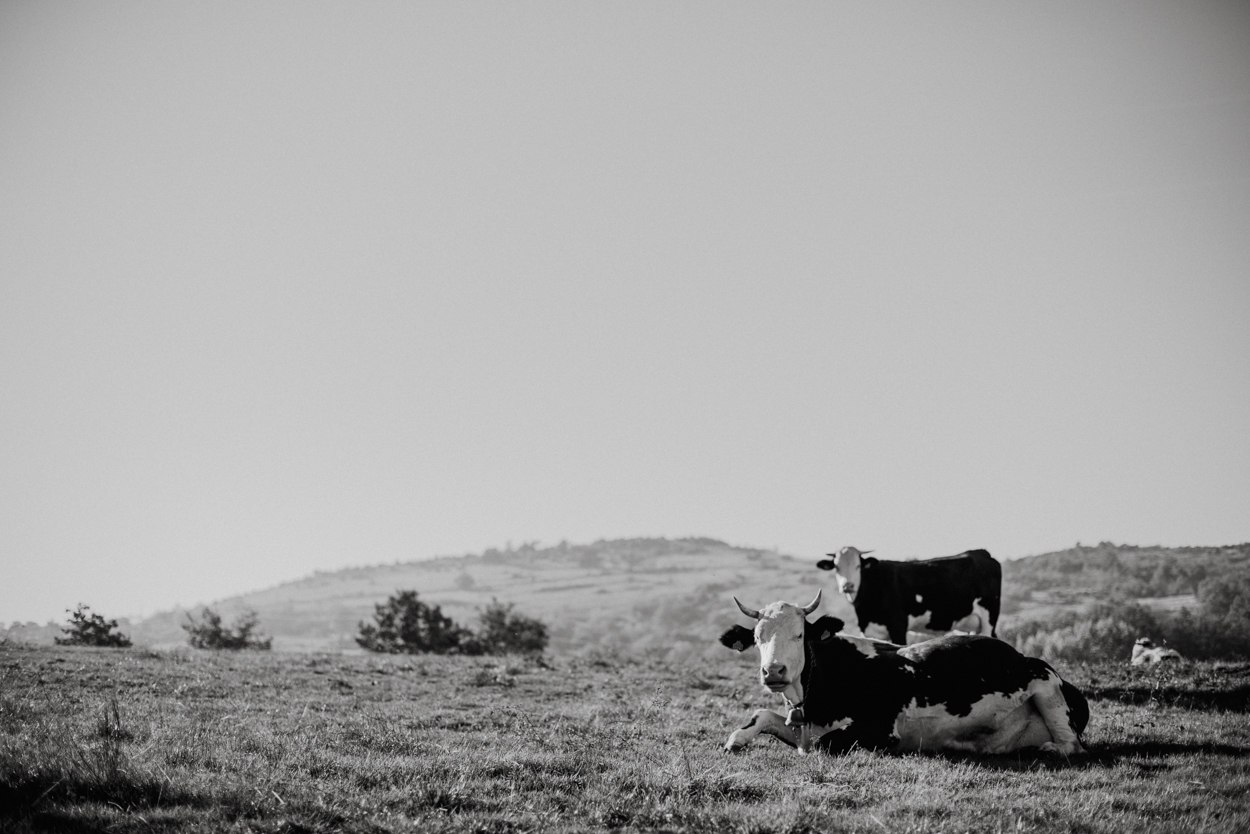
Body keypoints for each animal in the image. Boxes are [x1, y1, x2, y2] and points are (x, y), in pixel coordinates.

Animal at [718, 590, 1088, 756]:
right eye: (757, 638)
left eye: (799, 635)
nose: (773, 671)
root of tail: (1019, 655)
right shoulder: (803, 723)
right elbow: (762, 715)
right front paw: (737, 737)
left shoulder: (881, 730)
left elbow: (823, 743)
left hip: (1044, 681)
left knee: (1071, 744)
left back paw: (1051, 749)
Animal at [817, 546, 1001, 644]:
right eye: (836, 567)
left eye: (858, 566)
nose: (847, 586)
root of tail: (980, 553)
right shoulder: (870, 632)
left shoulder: (898, 626)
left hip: (988, 619)